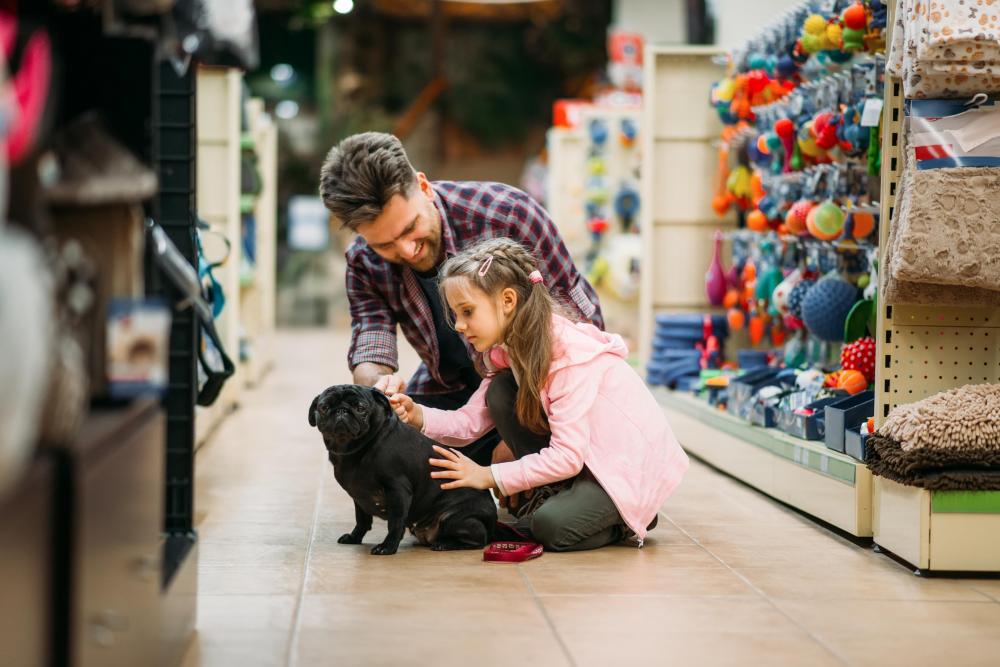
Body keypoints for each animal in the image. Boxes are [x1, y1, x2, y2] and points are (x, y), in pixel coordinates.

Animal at [306, 384, 498, 556]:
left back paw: (445, 544)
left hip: (456, 519)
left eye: (360, 408)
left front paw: (388, 547)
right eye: (324, 407)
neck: (356, 449)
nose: (341, 411)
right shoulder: (358, 497)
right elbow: (361, 520)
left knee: (478, 540)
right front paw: (354, 538)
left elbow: (395, 523)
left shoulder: (397, 490)